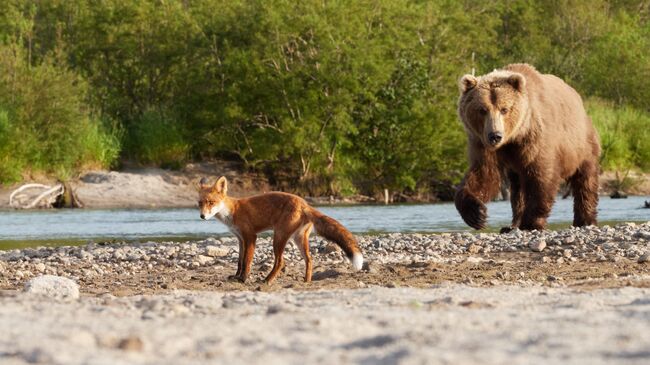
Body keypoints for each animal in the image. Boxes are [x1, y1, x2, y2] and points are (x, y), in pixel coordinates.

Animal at [195, 175, 362, 282]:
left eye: (211, 202)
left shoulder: (251, 236)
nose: (202, 216)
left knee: (280, 262)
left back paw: (267, 280)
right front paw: (236, 276)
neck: (232, 211)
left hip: (279, 237)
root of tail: (305, 203)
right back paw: (306, 281)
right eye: (200, 203)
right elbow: (240, 261)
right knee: (309, 259)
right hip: (298, 239)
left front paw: (243, 279)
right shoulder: (240, 238)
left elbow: (247, 261)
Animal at [454, 64, 600, 230]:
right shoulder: (483, 144)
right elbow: (483, 174)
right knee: (517, 189)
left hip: (581, 144)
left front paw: (531, 222)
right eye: (482, 110)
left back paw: (585, 220)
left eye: (504, 109)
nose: (495, 135)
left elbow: (541, 176)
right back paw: (511, 225)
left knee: (585, 180)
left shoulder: (535, 138)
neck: (513, 138)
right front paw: (477, 214)